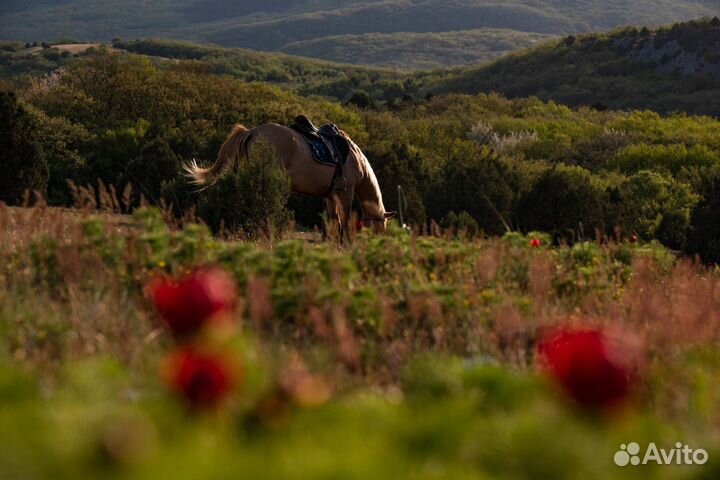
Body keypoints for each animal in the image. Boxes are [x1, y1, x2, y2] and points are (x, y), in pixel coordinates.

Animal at [180, 122, 394, 234]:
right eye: (381, 226)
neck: (356, 161)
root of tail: (252, 132)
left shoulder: (330, 196)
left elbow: (335, 223)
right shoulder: (345, 194)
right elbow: (345, 222)